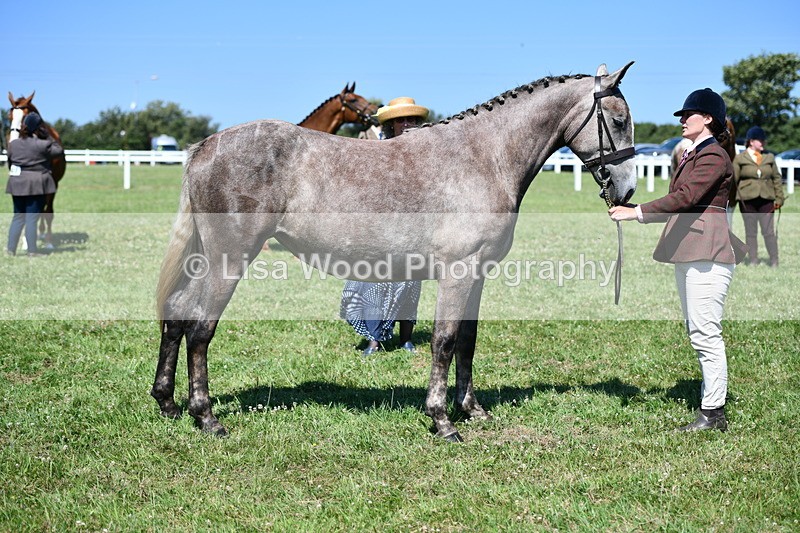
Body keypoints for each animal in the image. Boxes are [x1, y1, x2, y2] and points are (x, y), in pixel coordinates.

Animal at [152, 62, 638, 442]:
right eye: (616, 120)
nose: (628, 190)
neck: (484, 156)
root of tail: (204, 147)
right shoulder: (457, 272)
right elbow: (444, 341)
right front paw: (442, 420)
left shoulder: (478, 274)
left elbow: (467, 341)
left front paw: (472, 408)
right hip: (228, 261)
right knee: (200, 329)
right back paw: (206, 417)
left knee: (176, 315)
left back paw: (168, 403)